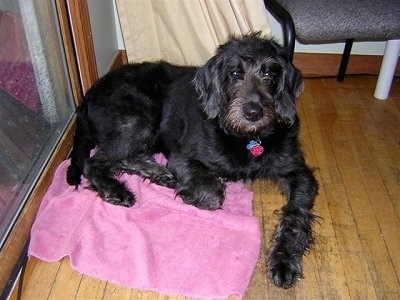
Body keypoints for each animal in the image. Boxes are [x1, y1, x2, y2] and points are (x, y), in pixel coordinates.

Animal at [68, 32, 318, 288]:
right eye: (234, 73)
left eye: (269, 73)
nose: (253, 113)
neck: (248, 138)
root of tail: (86, 97)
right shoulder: (182, 158)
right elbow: (212, 193)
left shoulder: (298, 173)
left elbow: (295, 213)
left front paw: (284, 260)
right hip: (138, 118)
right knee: (97, 161)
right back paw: (117, 189)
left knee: (124, 157)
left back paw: (159, 174)